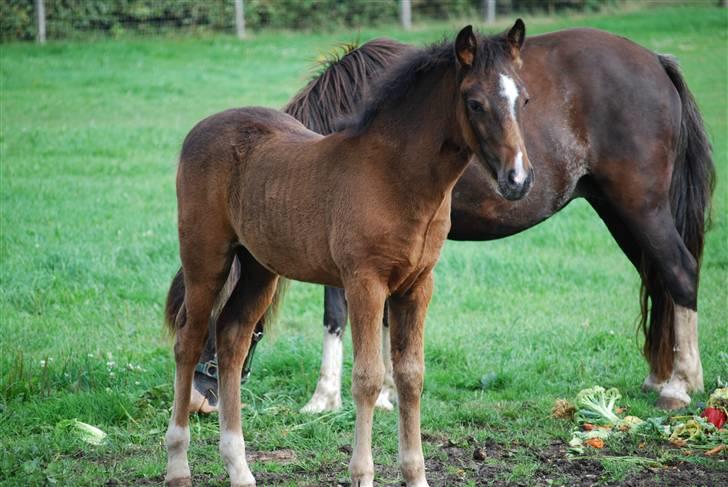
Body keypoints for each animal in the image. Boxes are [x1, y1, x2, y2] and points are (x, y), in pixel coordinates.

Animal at [165, 22, 532, 487]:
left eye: (524, 99)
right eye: (475, 102)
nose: (518, 179)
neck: (396, 177)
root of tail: (202, 127)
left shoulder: (418, 286)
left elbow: (410, 376)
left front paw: (415, 474)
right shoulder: (365, 283)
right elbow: (368, 378)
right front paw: (362, 473)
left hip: (258, 268)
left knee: (232, 338)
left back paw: (240, 469)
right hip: (206, 258)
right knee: (190, 339)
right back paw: (178, 465)